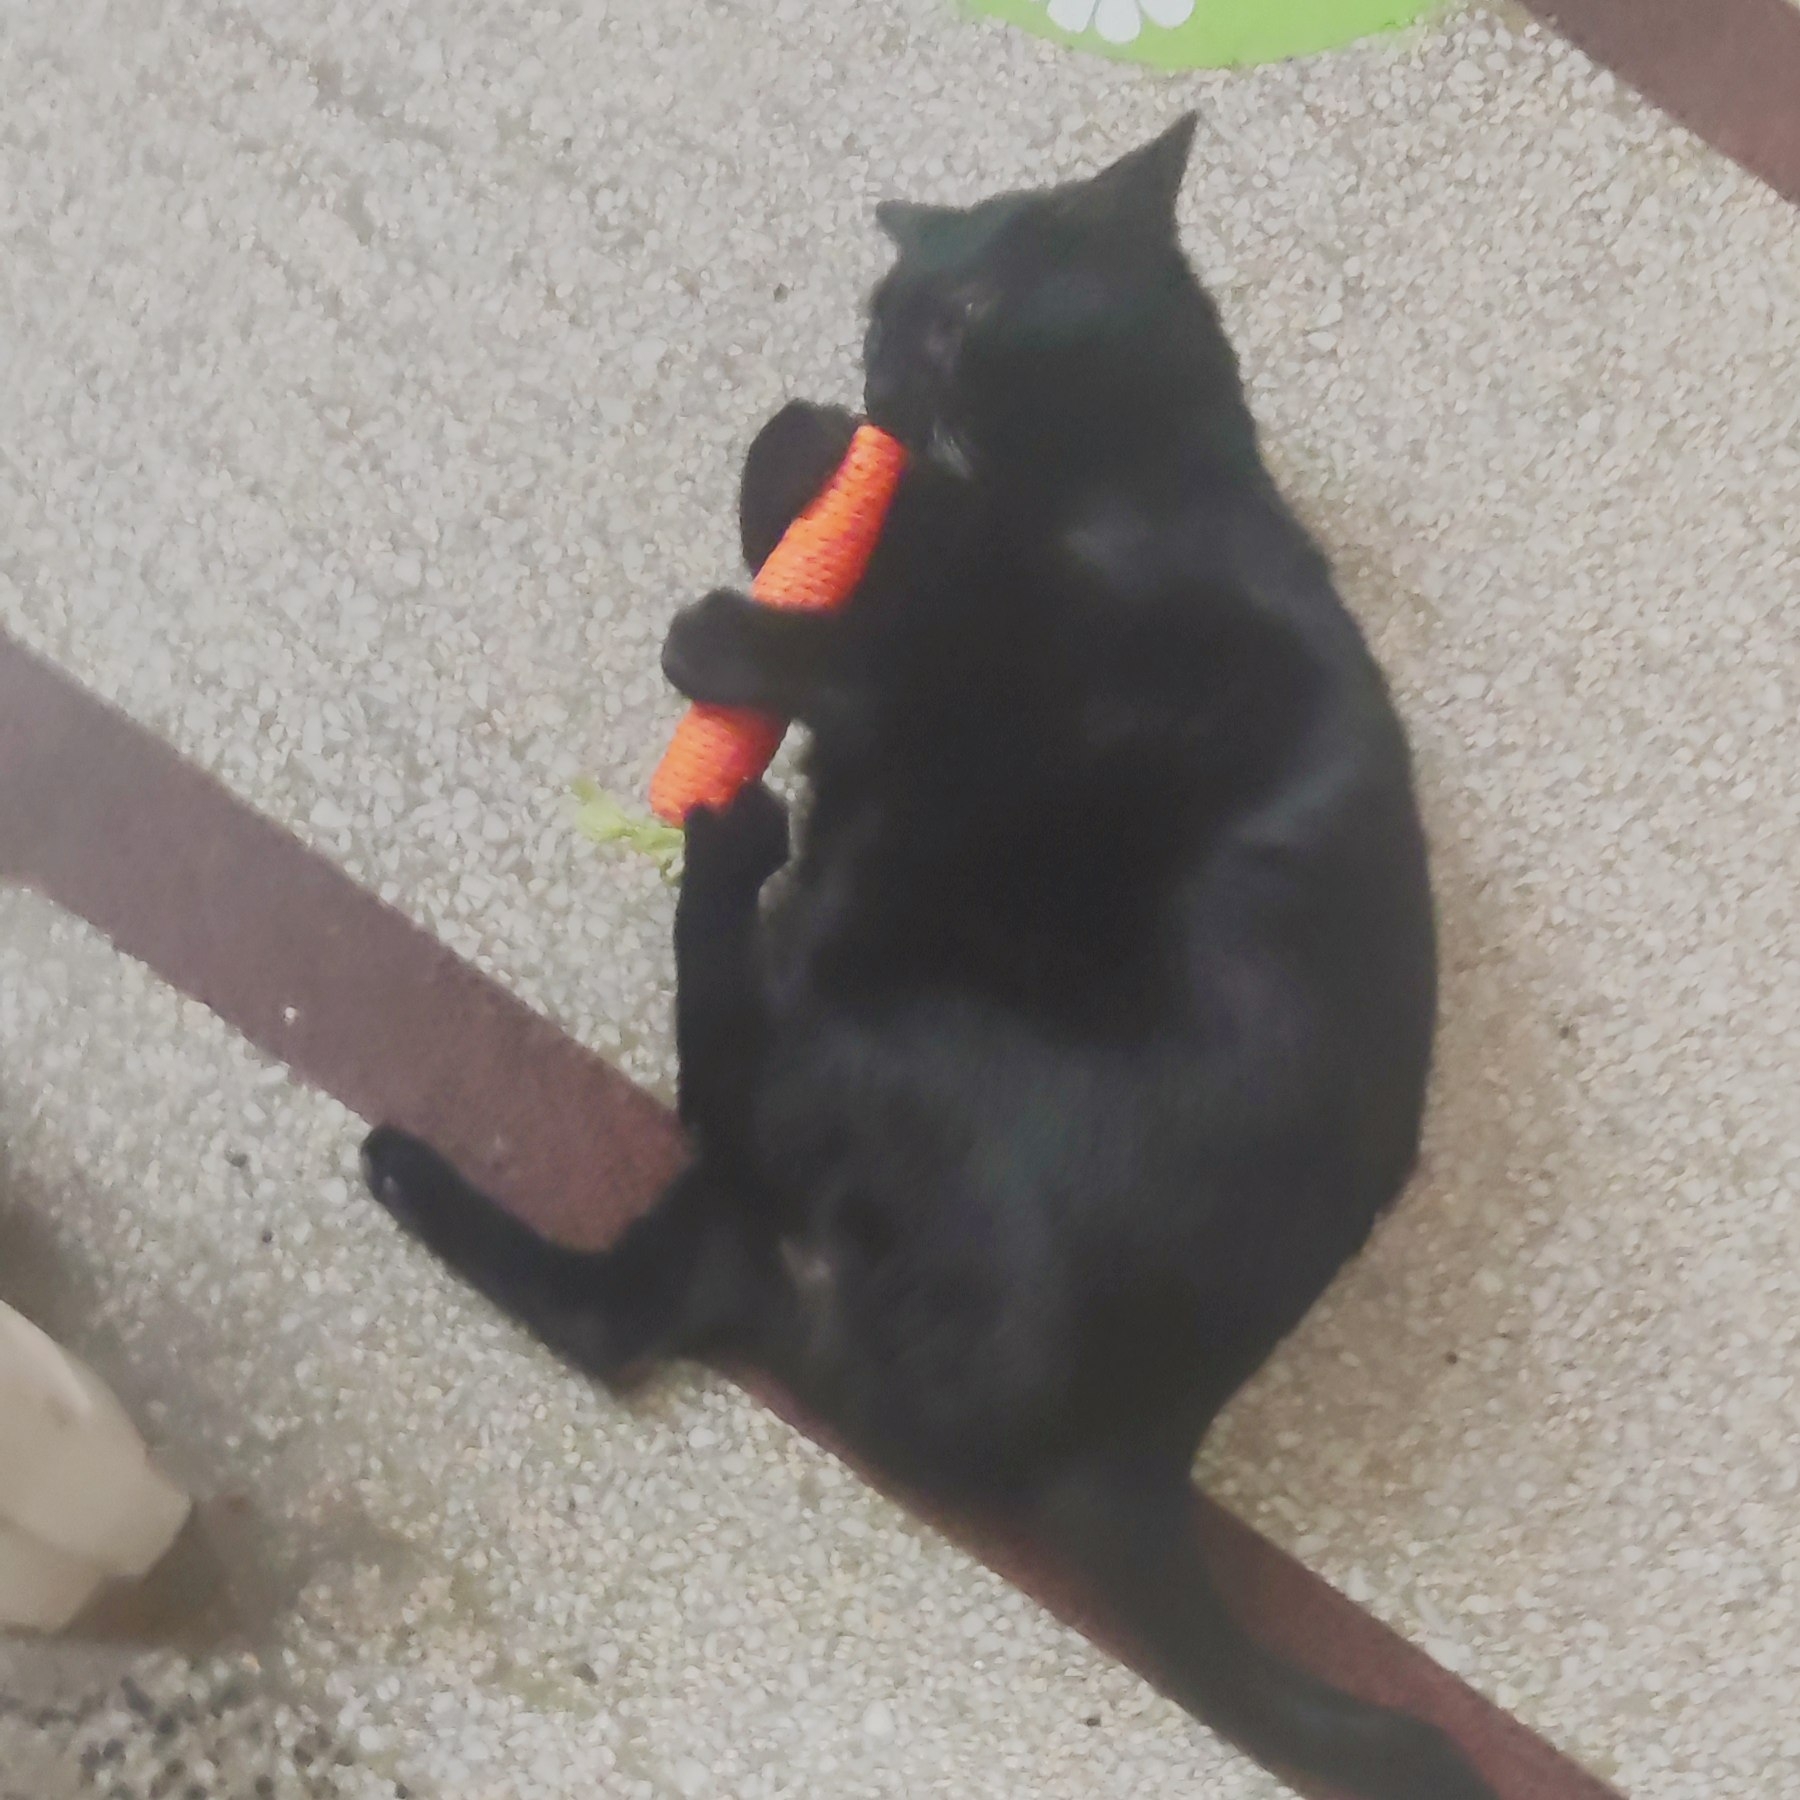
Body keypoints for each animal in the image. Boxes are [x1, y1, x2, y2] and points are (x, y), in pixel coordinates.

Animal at [362, 117, 1493, 1800]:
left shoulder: (1087, 676)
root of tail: (1141, 1450)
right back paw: (415, 1156)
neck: (1111, 488)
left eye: (957, 313)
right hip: (789, 1165)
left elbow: (907, 636)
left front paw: (757, 591)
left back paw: (729, 847)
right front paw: (807, 456)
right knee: (618, 1307)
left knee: (715, 1113)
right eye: (883, 312)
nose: (889, 378)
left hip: (901, 1028)